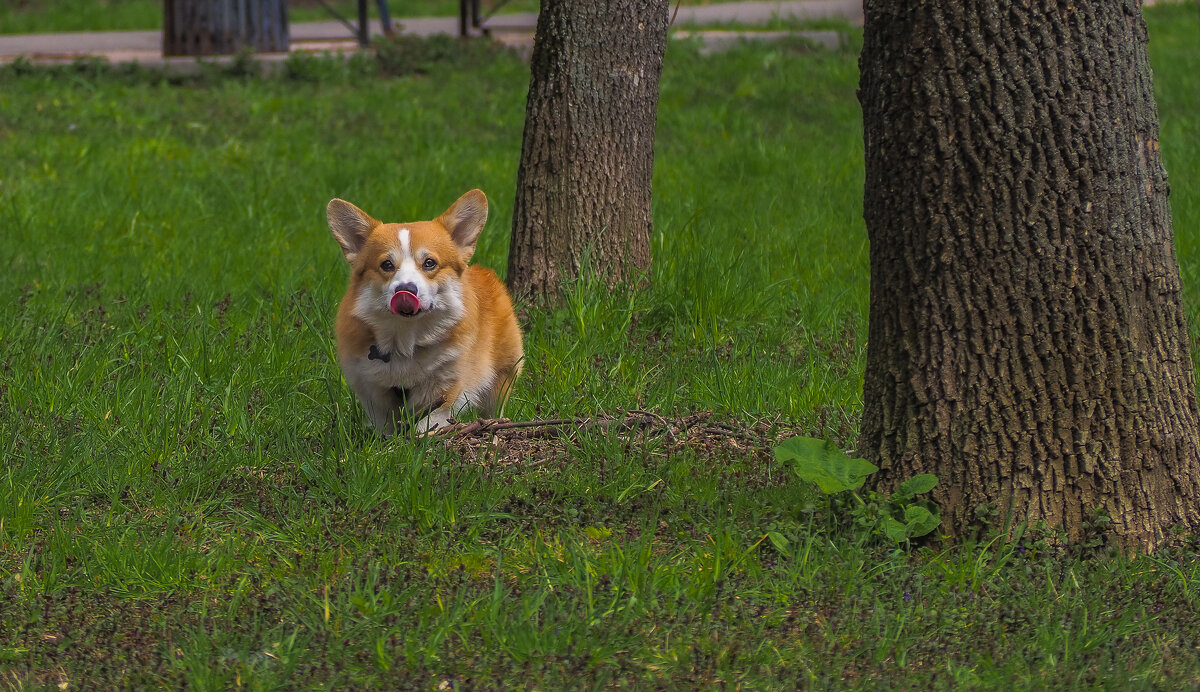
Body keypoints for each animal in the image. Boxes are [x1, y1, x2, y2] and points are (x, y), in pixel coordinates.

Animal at [328, 189, 520, 434]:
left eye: (429, 263)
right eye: (387, 265)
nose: (406, 289)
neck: (406, 344)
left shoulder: (442, 388)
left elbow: (427, 423)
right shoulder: (373, 392)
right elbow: (384, 425)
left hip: (502, 375)